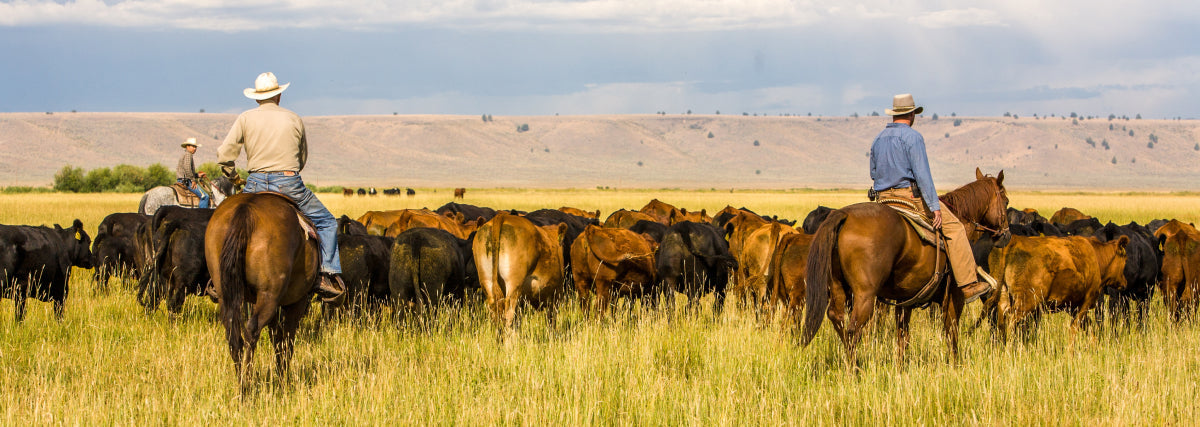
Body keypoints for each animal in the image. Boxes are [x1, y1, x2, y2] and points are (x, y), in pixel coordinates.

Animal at [204, 191, 321, 386]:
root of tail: (246, 209)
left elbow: (277, 339)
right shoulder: (297, 301)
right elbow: (286, 341)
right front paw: (282, 379)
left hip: (225, 294)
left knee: (234, 335)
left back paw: (241, 382)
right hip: (269, 296)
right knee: (253, 330)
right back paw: (246, 386)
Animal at [801, 167, 1008, 364]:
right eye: (1005, 200)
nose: (1005, 235)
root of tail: (843, 215)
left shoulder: (905, 299)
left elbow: (903, 337)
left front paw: (900, 368)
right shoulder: (954, 297)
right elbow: (952, 333)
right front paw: (956, 366)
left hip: (838, 287)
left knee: (838, 320)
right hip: (864, 295)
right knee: (854, 330)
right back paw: (855, 369)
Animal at [984, 235, 1123, 343]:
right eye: (1124, 259)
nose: (1124, 282)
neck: (1096, 255)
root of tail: (1013, 241)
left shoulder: (1073, 306)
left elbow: (1087, 327)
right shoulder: (1086, 301)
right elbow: (1075, 328)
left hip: (1004, 296)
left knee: (1001, 320)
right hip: (1026, 302)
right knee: (1011, 320)